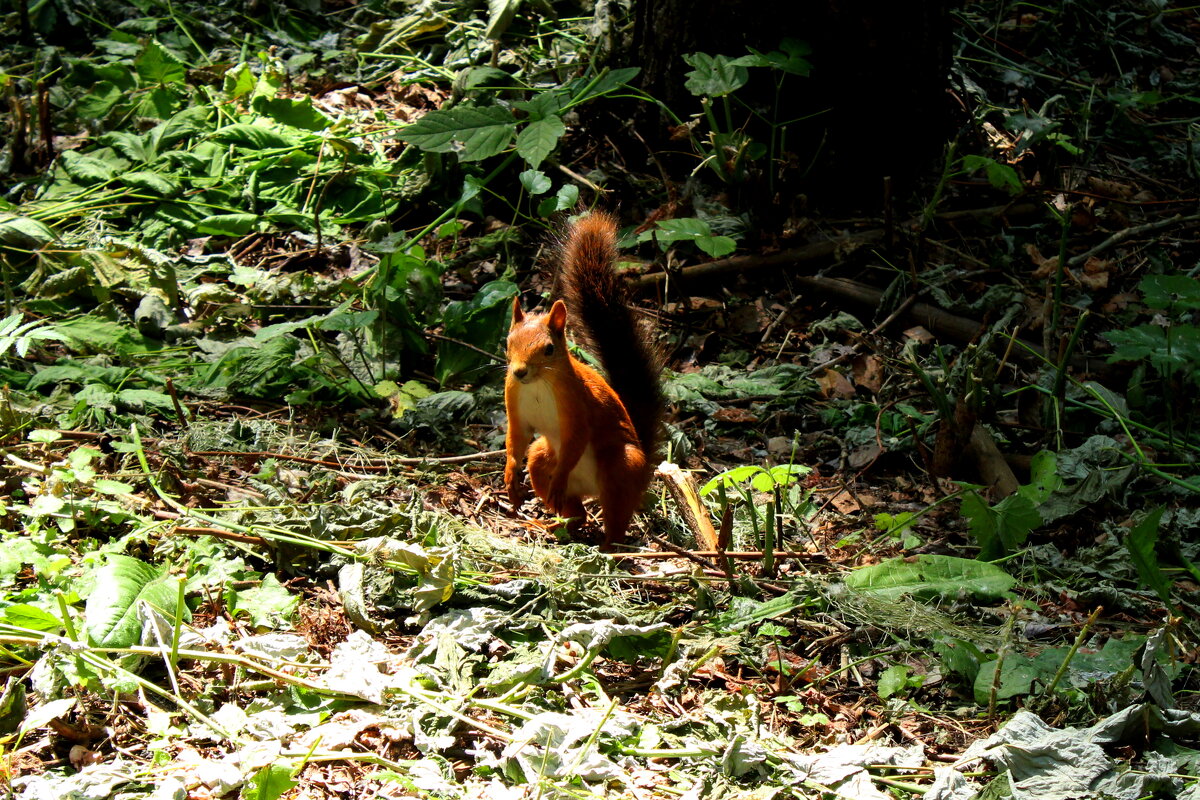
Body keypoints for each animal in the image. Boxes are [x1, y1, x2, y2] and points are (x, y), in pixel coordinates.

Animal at [501, 211, 662, 551]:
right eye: (508, 343)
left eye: (549, 349)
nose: (519, 371)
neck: (537, 385)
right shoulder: (514, 403)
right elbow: (516, 438)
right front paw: (510, 479)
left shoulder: (577, 404)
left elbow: (577, 437)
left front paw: (557, 478)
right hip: (541, 457)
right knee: (576, 512)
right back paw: (551, 524)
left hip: (619, 466)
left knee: (615, 518)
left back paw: (609, 548)